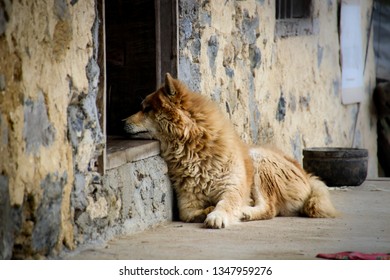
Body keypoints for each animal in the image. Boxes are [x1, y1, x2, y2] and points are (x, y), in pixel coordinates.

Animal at [123, 73, 336, 229]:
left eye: (147, 109)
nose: (121, 122)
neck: (194, 149)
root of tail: (306, 175)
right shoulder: (187, 202)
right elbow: (188, 214)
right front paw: (207, 210)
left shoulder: (232, 188)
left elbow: (225, 203)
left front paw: (217, 215)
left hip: (259, 160)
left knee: (269, 208)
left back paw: (245, 212)